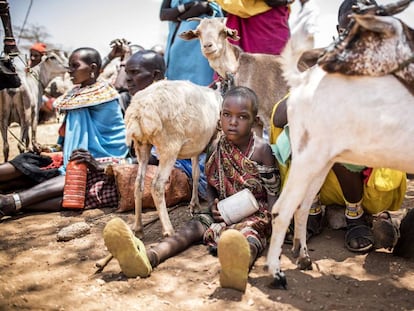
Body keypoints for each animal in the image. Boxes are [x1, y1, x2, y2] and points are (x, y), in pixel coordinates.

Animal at [124, 79, 222, 238]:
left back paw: (138, 227)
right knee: (157, 185)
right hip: (169, 147)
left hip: (141, 145)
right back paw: (168, 230)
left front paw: (194, 205)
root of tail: (138, 111)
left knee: (138, 183)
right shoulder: (214, 138)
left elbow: (195, 173)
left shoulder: (195, 145)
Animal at [266, 3, 414, 290]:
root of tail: (303, 81)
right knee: (282, 210)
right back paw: (276, 274)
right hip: (307, 158)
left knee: (302, 207)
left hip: (322, 161)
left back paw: (303, 257)